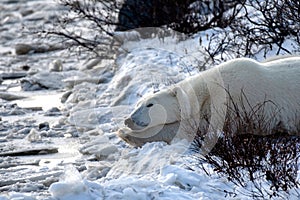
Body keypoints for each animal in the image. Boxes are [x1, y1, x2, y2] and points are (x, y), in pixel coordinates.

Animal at [117, 56, 300, 147]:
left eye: (150, 104)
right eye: (138, 104)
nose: (129, 120)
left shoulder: (228, 105)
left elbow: (188, 129)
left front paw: (126, 134)